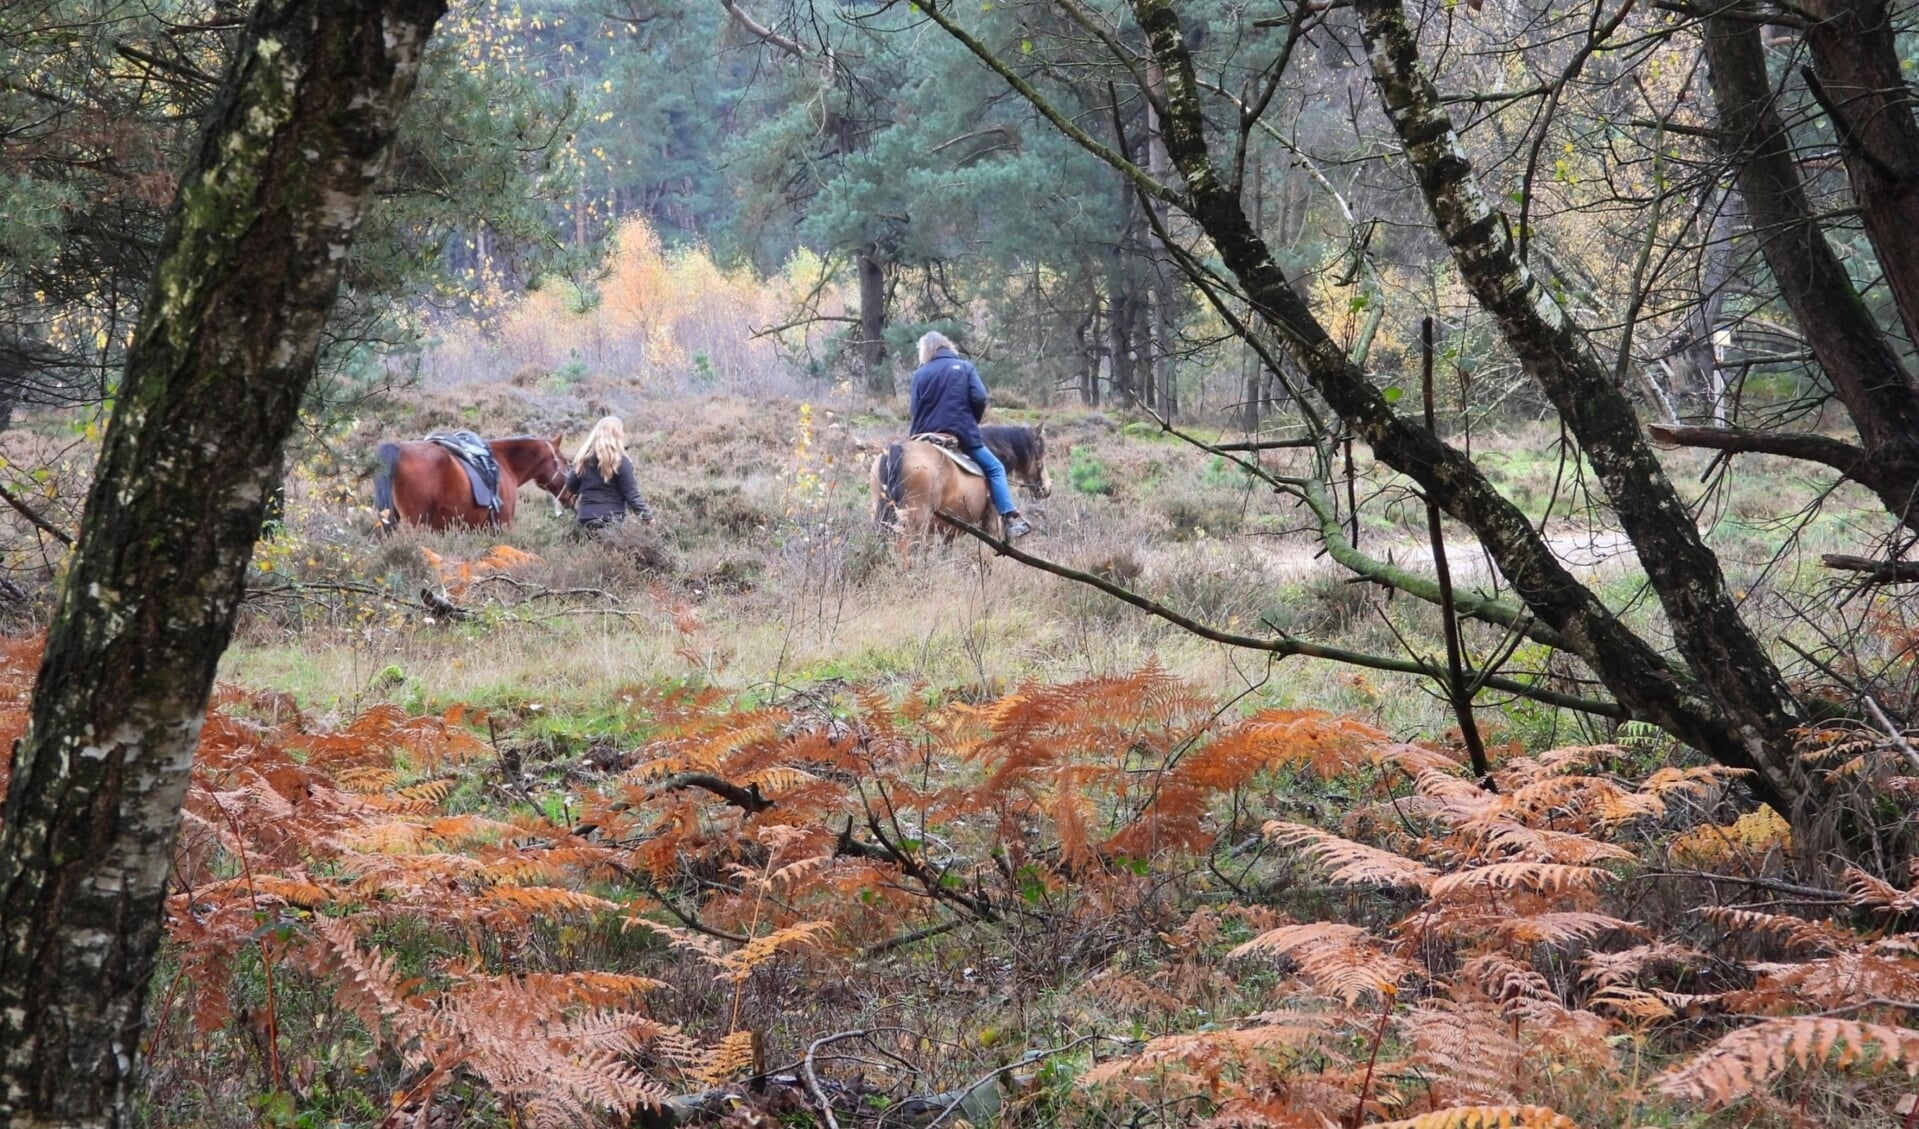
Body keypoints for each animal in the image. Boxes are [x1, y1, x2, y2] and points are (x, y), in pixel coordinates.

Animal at [871, 422, 1051, 545]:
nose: (1046, 489)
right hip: (914, 523)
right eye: (1040, 456)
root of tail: (898, 450)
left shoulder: (951, 529)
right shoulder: (991, 522)